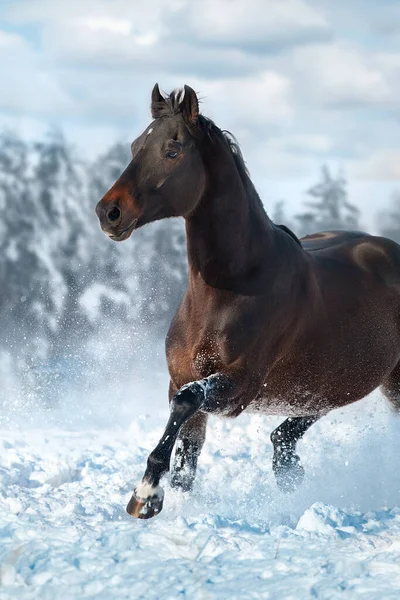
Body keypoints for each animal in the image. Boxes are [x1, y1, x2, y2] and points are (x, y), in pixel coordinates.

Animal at [96, 84, 400, 520]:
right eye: (137, 145)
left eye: (173, 150)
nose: (109, 212)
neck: (233, 286)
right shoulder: (180, 378)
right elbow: (187, 456)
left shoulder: (239, 385)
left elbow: (187, 406)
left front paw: (145, 495)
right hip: (330, 381)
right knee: (285, 436)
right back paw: (289, 473)